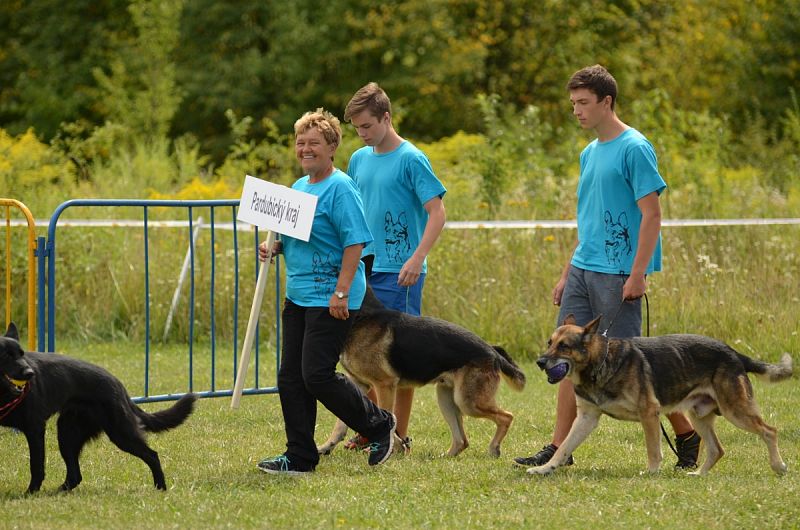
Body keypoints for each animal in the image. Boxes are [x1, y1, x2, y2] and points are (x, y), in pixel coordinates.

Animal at [0, 322, 196, 490]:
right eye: (7, 356)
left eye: (21, 354)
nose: (30, 373)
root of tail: (118, 384)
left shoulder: (35, 429)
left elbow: (36, 465)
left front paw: (31, 492)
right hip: (68, 434)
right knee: (75, 475)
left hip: (120, 434)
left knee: (152, 455)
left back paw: (160, 487)